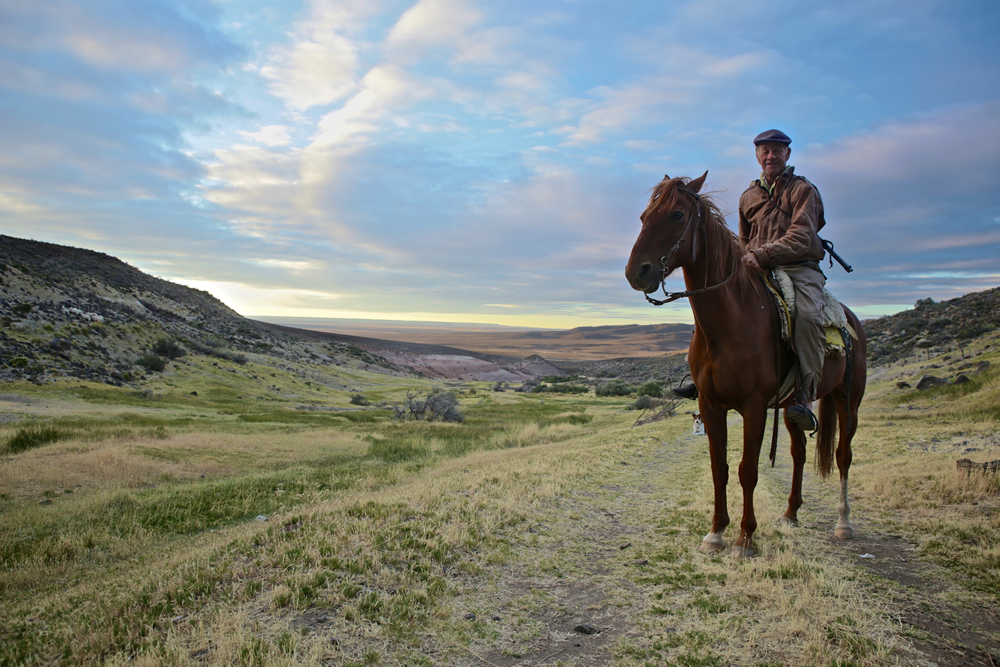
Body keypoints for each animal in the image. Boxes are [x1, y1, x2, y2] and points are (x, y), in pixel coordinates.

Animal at [624, 174, 868, 560]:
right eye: (644, 216)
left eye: (677, 215)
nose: (637, 272)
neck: (729, 322)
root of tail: (850, 318)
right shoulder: (710, 405)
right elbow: (719, 469)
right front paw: (715, 533)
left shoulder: (754, 407)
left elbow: (747, 471)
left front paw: (745, 539)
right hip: (793, 407)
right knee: (799, 453)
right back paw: (790, 513)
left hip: (848, 400)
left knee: (843, 455)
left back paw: (844, 523)